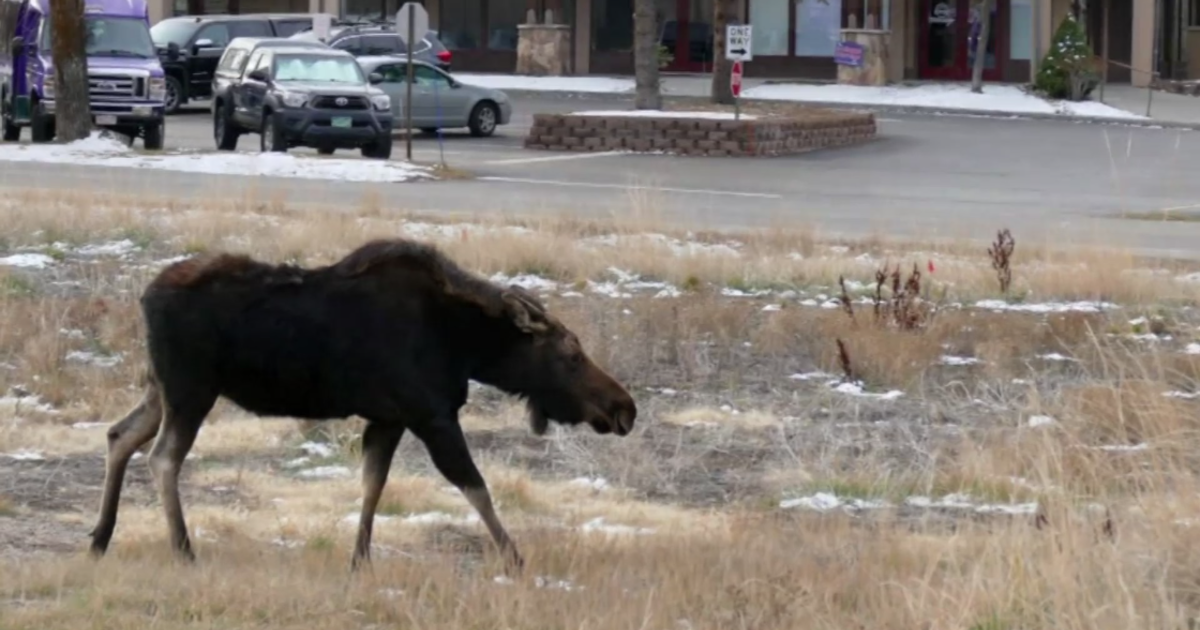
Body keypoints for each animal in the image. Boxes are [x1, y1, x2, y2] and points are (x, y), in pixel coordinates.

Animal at [88, 235, 638, 568]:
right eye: (571, 355)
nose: (624, 408)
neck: (465, 346)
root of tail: (144, 297)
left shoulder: (388, 419)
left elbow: (373, 485)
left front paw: (359, 560)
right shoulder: (431, 414)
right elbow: (476, 487)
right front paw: (516, 559)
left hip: (162, 390)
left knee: (119, 435)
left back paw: (100, 538)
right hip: (190, 392)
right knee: (162, 457)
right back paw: (183, 550)